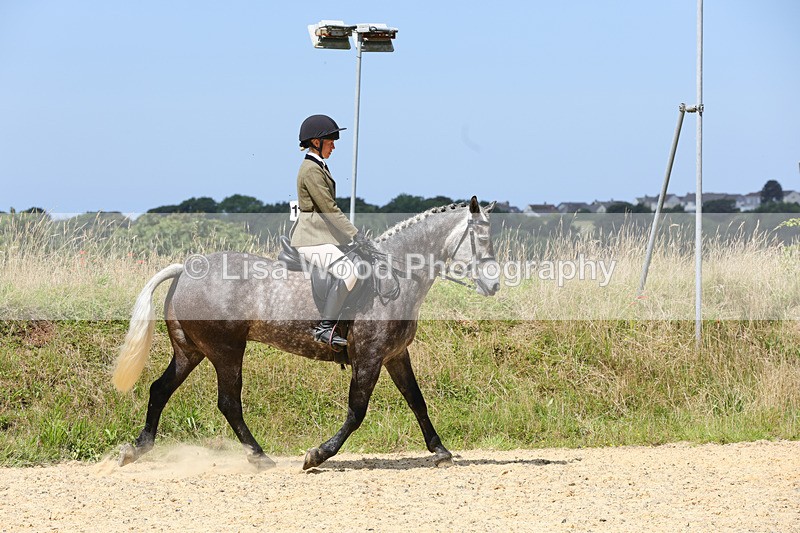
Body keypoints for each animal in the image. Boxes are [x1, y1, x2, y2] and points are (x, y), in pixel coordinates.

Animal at [112, 196, 499, 470]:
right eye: (480, 239)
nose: (494, 285)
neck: (396, 275)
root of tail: (186, 270)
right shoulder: (369, 356)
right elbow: (357, 411)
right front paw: (318, 455)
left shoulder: (394, 355)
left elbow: (417, 400)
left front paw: (440, 450)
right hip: (226, 350)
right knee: (228, 402)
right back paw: (259, 456)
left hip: (190, 350)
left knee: (160, 389)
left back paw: (137, 448)